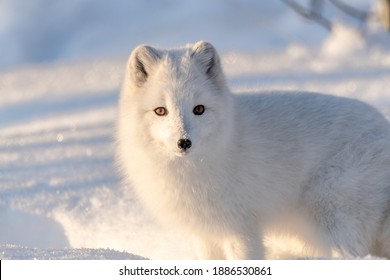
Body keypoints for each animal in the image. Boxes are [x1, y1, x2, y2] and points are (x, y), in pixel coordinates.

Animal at [116, 40, 390, 260]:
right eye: (160, 111)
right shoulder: (206, 232)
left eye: (199, 109)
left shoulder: (241, 228)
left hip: (330, 213)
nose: (184, 142)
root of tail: (383, 125)